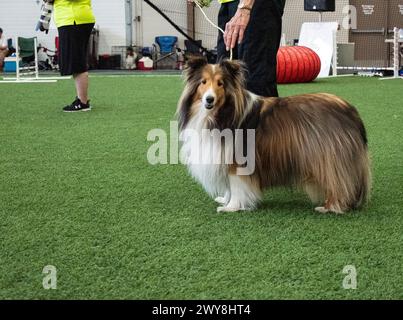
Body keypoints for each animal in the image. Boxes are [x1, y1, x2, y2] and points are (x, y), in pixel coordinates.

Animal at [177, 57, 372, 212]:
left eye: (220, 83)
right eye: (203, 82)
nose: (209, 99)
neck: (221, 113)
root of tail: (351, 111)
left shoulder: (237, 158)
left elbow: (236, 185)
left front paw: (231, 207)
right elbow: (229, 186)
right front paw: (225, 199)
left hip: (330, 159)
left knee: (339, 184)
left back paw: (330, 207)